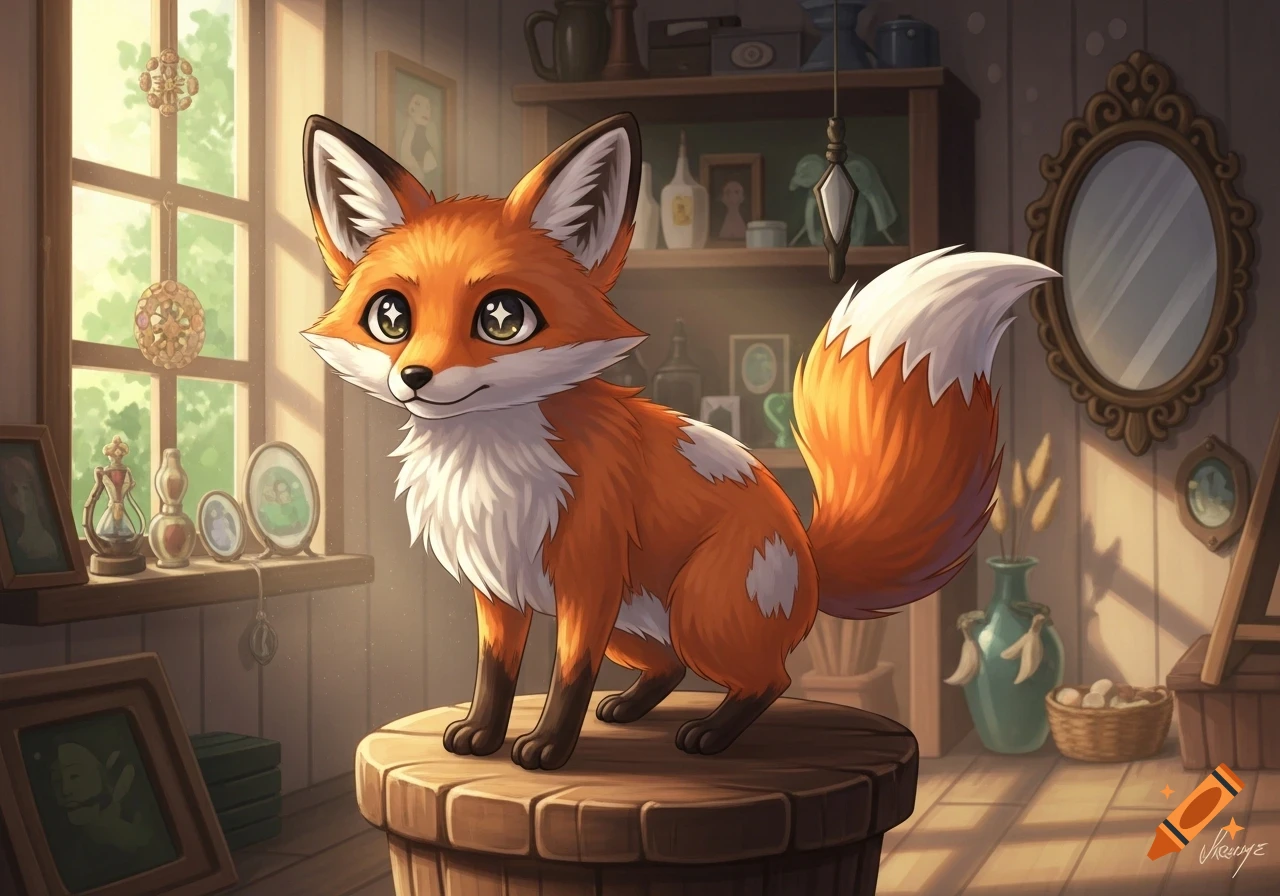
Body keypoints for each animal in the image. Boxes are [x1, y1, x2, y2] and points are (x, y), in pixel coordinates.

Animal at [299, 111, 1059, 771]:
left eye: (502, 319)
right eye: (391, 317)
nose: (414, 378)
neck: (488, 462)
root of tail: (809, 554)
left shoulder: (588, 579)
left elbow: (567, 675)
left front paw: (546, 747)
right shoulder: (500, 589)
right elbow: (495, 674)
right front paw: (482, 735)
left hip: (696, 609)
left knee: (770, 679)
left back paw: (711, 735)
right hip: (637, 626)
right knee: (671, 666)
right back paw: (632, 708)